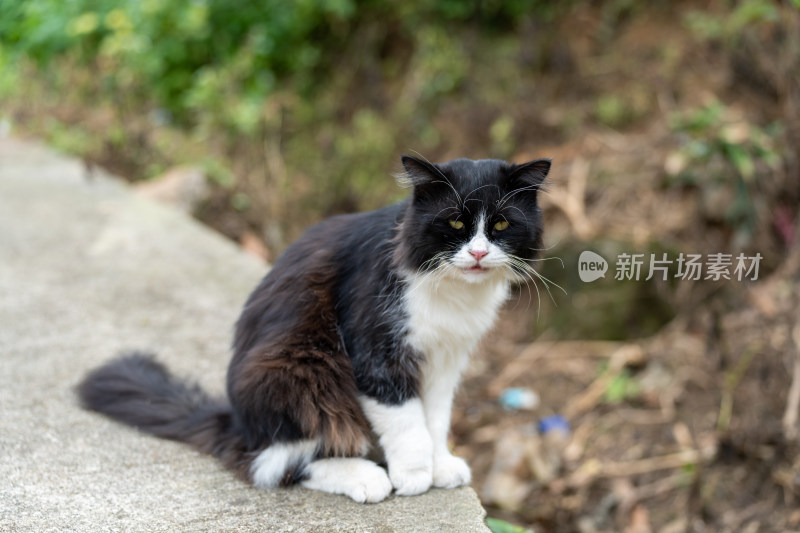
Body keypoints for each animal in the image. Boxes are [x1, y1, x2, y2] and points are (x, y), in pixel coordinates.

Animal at [78, 154, 552, 502]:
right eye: (455, 222)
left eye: (501, 224)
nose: (478, 253)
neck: (452, 292)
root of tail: (237, 422)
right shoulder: (375, 350)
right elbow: (408, 422)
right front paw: (415, 474)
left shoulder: (445, 358)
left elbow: (435, 418)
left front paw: (441, 465)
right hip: (303, 366)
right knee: (279, 462)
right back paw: (366, 477)